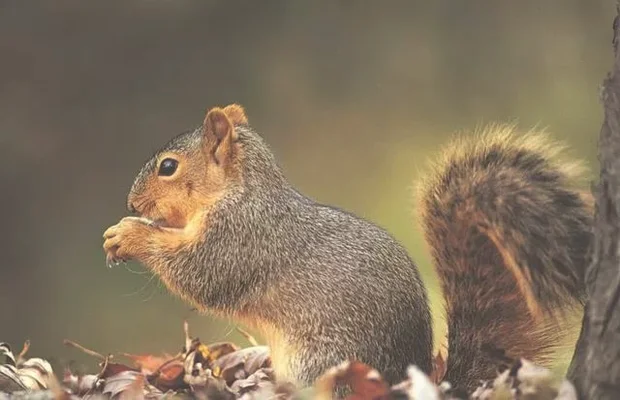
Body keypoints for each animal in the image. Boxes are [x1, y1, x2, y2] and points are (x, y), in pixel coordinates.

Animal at [104, 104, 592, 394]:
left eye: (168, 167)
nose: (131, 203)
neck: (241, 191)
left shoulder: (240, 237)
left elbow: (200, 274)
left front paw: (129, 235)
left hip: (321, 364)